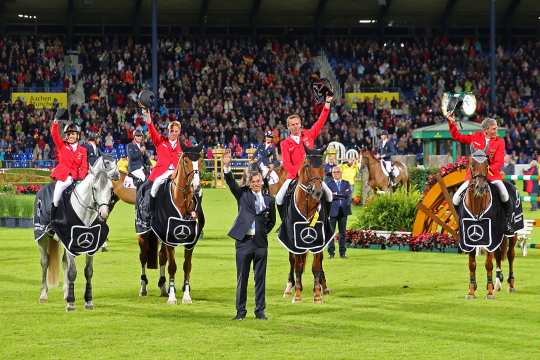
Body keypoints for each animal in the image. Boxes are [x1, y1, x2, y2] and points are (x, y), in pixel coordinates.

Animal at [34, 156, 119, 310]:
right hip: (42, 237)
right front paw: (71, 304)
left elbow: (88, 271)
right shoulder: (70, 242)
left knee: (64, 263)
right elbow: (72, 272)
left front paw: (88, 301)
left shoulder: (91, 244)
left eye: (110, 188)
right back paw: (43, 295)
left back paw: (66, 292)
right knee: (44, 262)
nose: (104, 213)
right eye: (94, 188)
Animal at [137, 143, 205, 304]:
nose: (196, 186)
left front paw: (186, 296)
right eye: (186, 161)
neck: (183, 200)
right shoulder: (169, 241)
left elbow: (187, 267)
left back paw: (163, 287)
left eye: (200, 160)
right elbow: (172, 267)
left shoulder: (190, 242)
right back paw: (143, 288)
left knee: (162, 257)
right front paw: (173, 297)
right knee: (143, 257)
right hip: (142, 234)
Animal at [274, 146, 334, 304]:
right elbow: (298, 267)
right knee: (292, 261)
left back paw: (324, 286)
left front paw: (317, 294)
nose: (317, 192)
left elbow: (316, 267)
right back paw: (289, 287)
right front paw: (297, 294)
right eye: (307, 165)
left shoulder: (319, 239)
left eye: (322, 166)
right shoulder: (294, 239)